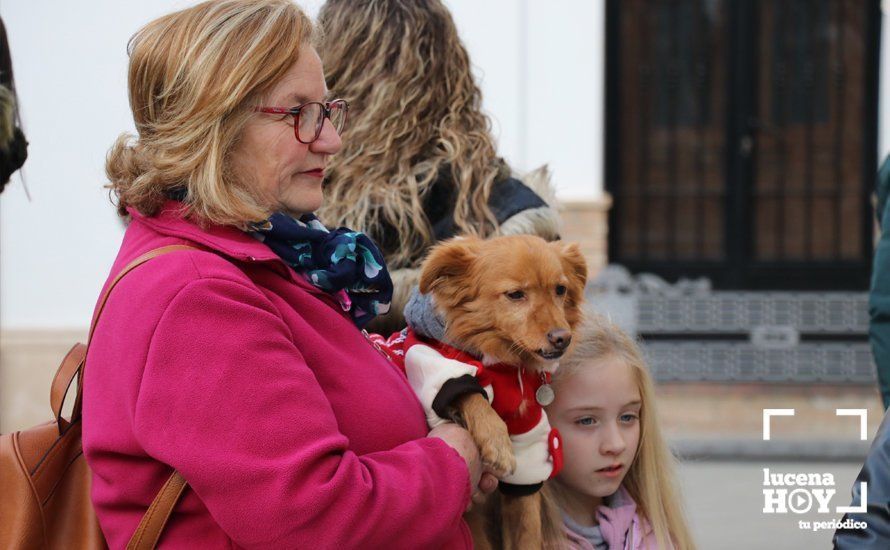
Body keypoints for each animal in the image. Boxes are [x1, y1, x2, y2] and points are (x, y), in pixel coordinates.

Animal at [412, 235, 588, 548]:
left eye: (560, 289)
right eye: (515, 294)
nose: (562, 338)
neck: (507, 363)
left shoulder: (529, 436)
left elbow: (527, 531)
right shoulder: (425, 358)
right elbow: (469, 391)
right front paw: (495, 440)